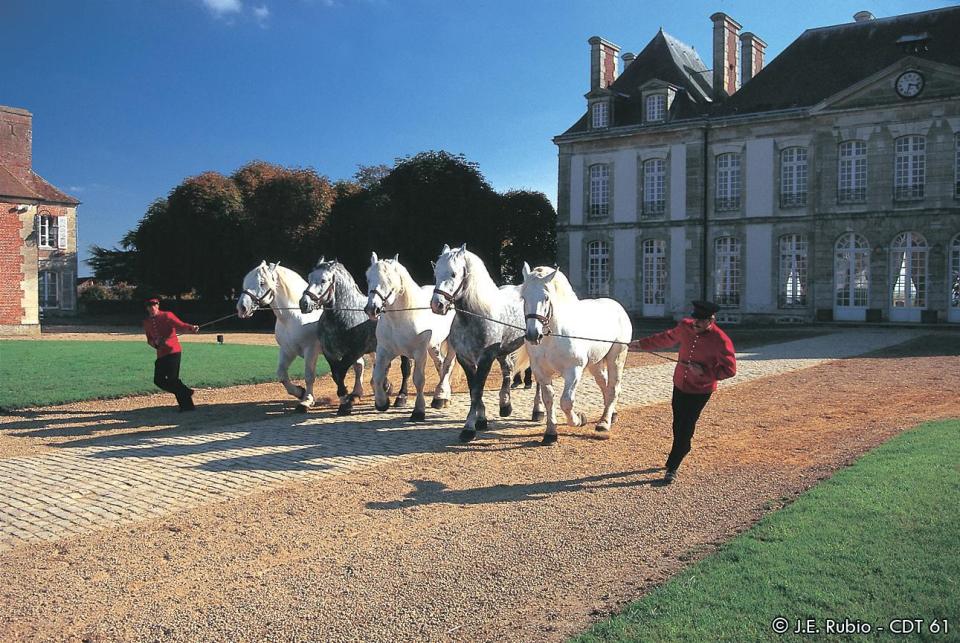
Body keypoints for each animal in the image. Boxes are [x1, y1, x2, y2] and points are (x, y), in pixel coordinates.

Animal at [237, 260, 364, 412]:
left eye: (262, 283)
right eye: (245, 281)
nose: (242, 307)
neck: (294, 316)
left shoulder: (311, 350)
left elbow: (309, 375)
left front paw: (306, 401)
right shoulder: (287, 350)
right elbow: (282, 375)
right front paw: (300, 392)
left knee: (360, 365)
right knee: (360, 365)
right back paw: (357, 394)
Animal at [366, 252, 460, 422]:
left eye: (389, 280)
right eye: (368, 278)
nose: (372, 309)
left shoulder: (419, 352)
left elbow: (418, 379)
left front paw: (418, 411)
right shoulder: (384, 350)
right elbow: (377, 375)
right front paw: (382, 402)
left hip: (449, 343)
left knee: (448, 364)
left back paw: (441, 398)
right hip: (434, 346)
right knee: (440, 364)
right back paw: (443, 397)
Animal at [520, 264, 632, 446]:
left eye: (546, 297)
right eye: (523, 297)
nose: (532, 335)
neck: (554, 336)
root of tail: (618, 308)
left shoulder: (573, 371)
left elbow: (566, 402)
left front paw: (579, 419)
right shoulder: (541, 372)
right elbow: (549, 399)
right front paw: (550, 434)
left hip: (616, 357)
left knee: (613, 388)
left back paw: (604, 423)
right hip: (595, 364)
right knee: (604, 384)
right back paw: (611, 414)